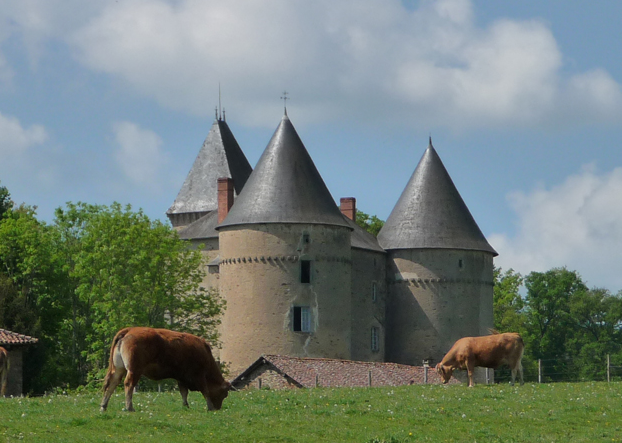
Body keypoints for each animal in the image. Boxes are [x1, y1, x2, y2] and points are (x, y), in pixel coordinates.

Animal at [101, 326, 233, 412]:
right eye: (225, 393)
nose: (218, 408)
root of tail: (130, 329)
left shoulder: (181, 377)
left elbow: (184, 392)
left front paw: (185, 406)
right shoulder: (199, 376)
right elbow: (205, 391)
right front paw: (209, 407)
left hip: (118, 369)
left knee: (112, 384)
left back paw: (103, 406)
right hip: (134, 370)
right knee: (128, 384)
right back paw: (129, 407)